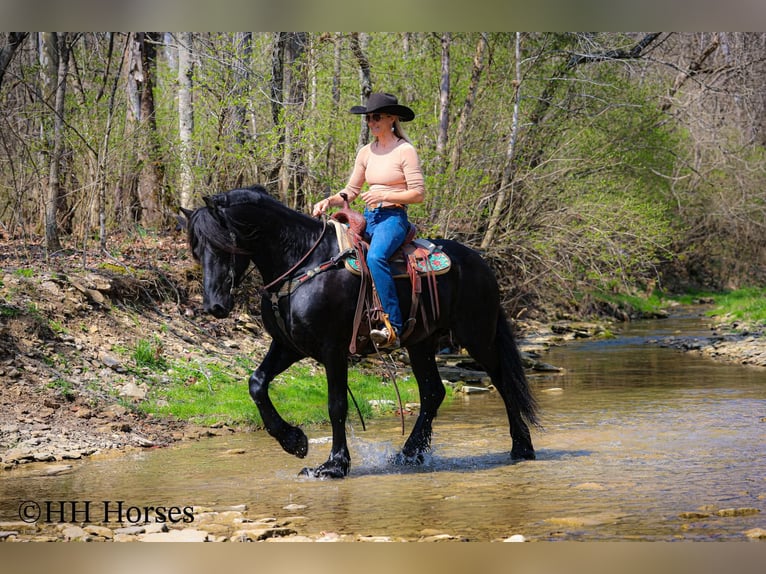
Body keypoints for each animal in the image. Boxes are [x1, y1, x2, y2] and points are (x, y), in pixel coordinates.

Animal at [182, 185, 537, 478]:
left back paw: (522, 448)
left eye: (223, 245)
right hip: (421, 343)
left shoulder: (333, 349)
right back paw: (408, 454)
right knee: (433, 393)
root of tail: (480, 262)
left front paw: (334, 465)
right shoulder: (288, 346)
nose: (214, 305)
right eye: (197, 250)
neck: (302, 264)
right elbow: (256, 384)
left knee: (503, 383)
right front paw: (294, 442)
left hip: (477, 336)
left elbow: (336, 405)